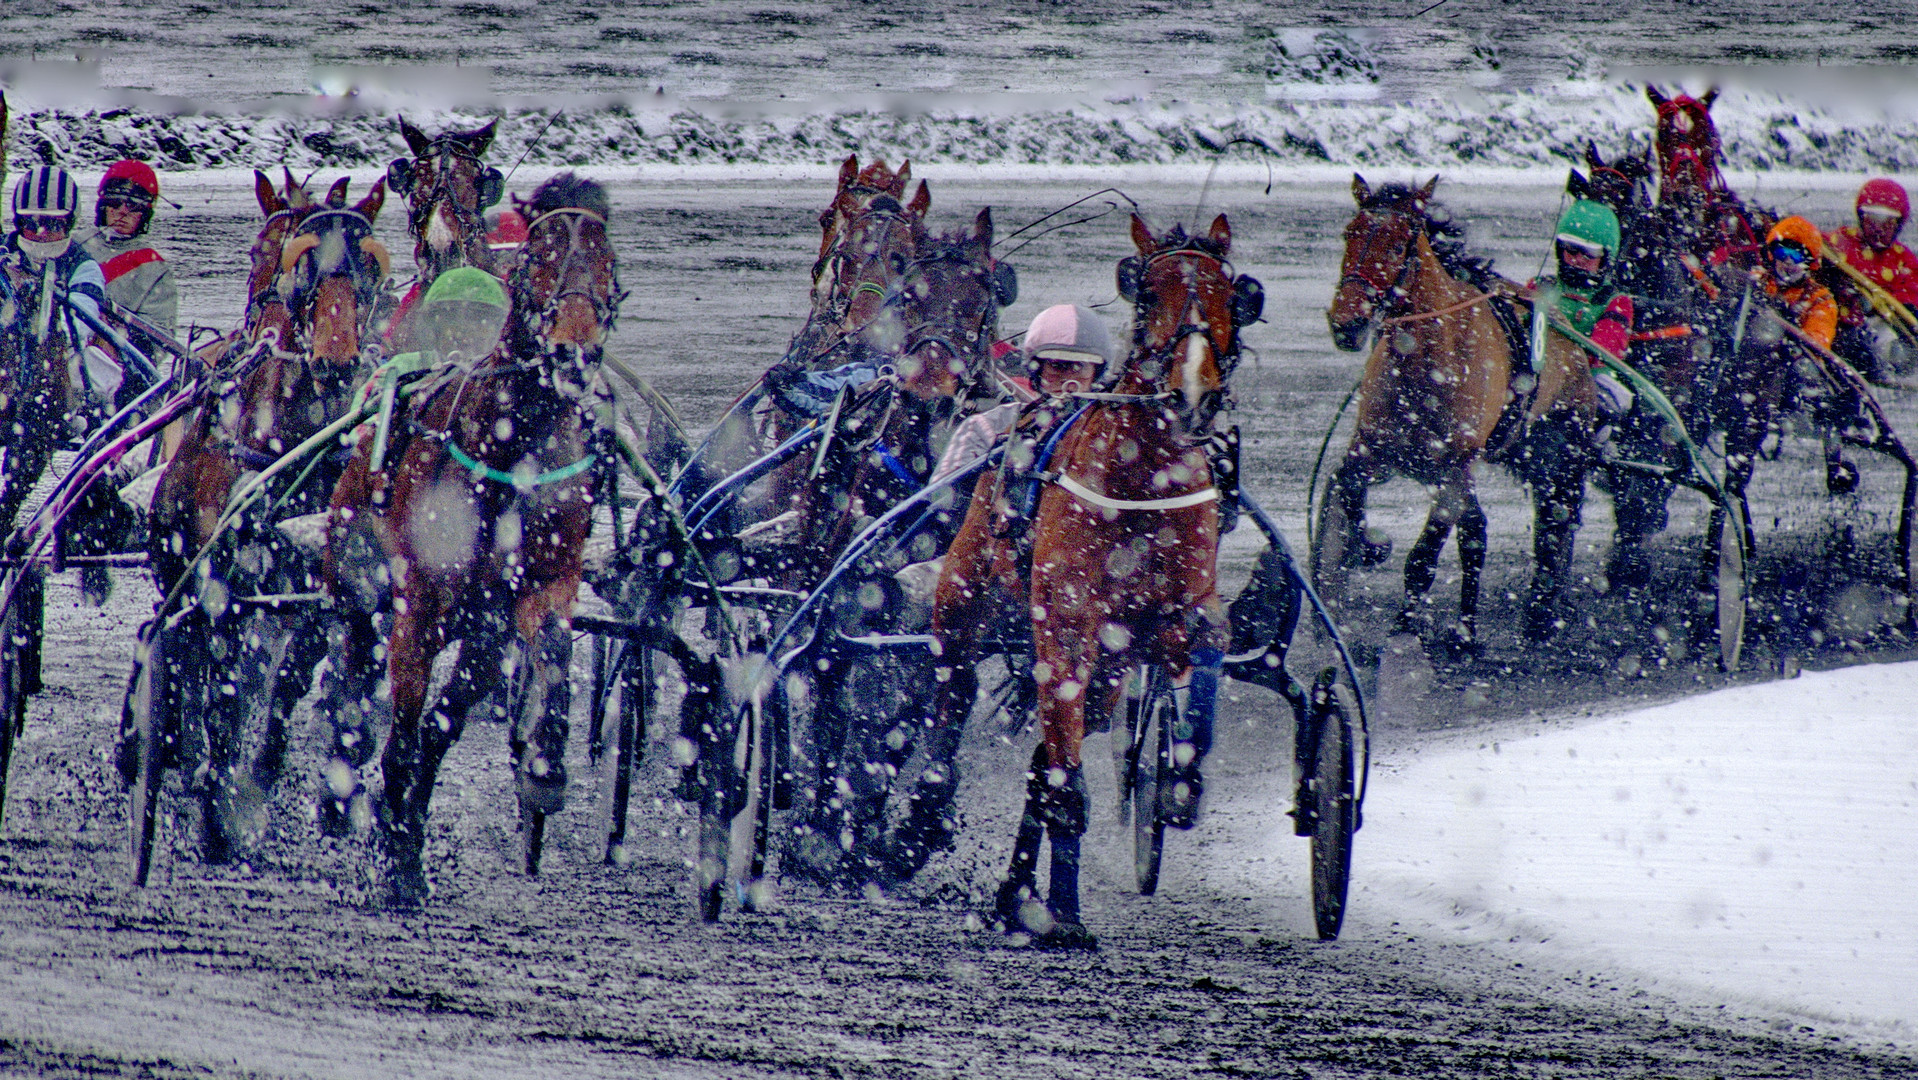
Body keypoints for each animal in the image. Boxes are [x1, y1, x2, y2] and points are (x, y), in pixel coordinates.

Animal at [136, 177, 389, 867]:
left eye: (368, 269)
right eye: (292, 263)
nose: (337, 359)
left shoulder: (325, 591)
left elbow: (304, 680)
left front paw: (291, 784)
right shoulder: (226, 587)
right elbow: (222, 687)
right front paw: (218, 815)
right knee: (184, 652)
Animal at [322, 175, 617, 905]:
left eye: (606, 261)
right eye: (539, 257)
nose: (574, 351)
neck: (509, 449)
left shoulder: (530, 593)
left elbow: (538, 656)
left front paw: (542, 769)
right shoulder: (419, 607)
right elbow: (401, 733)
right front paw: (393, 857)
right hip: (355, 577)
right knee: (352, 678)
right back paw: (340, 789)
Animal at [909, 211, 1258, 947]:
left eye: (1232, 295)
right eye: (1147, 293)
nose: (1193, 394)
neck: (1142, 477)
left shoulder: (1176, 614)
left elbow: (1208, 650)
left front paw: (1181, 778)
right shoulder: (1066, 623)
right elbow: (1062, 782)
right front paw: (1063, 912)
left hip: (1107, 671)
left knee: (1049, 753)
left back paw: (1020, 893)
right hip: (963, 604)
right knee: (954, 696)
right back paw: (928, 817)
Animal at [1319, 178, 1603, 648]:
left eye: (1397, 246)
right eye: (1349, 234)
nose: (1347, 324)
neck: (1426, 361)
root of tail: (1572, 334)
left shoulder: (1452, 470)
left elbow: (1423, 557)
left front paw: (1406, 622)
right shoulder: (1372, 448)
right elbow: (1347, 486)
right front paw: (1366, 546)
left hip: (1560, 449)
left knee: (1553, 522)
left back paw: (1536, 614)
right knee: (1479, 530)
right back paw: (1469, 627)